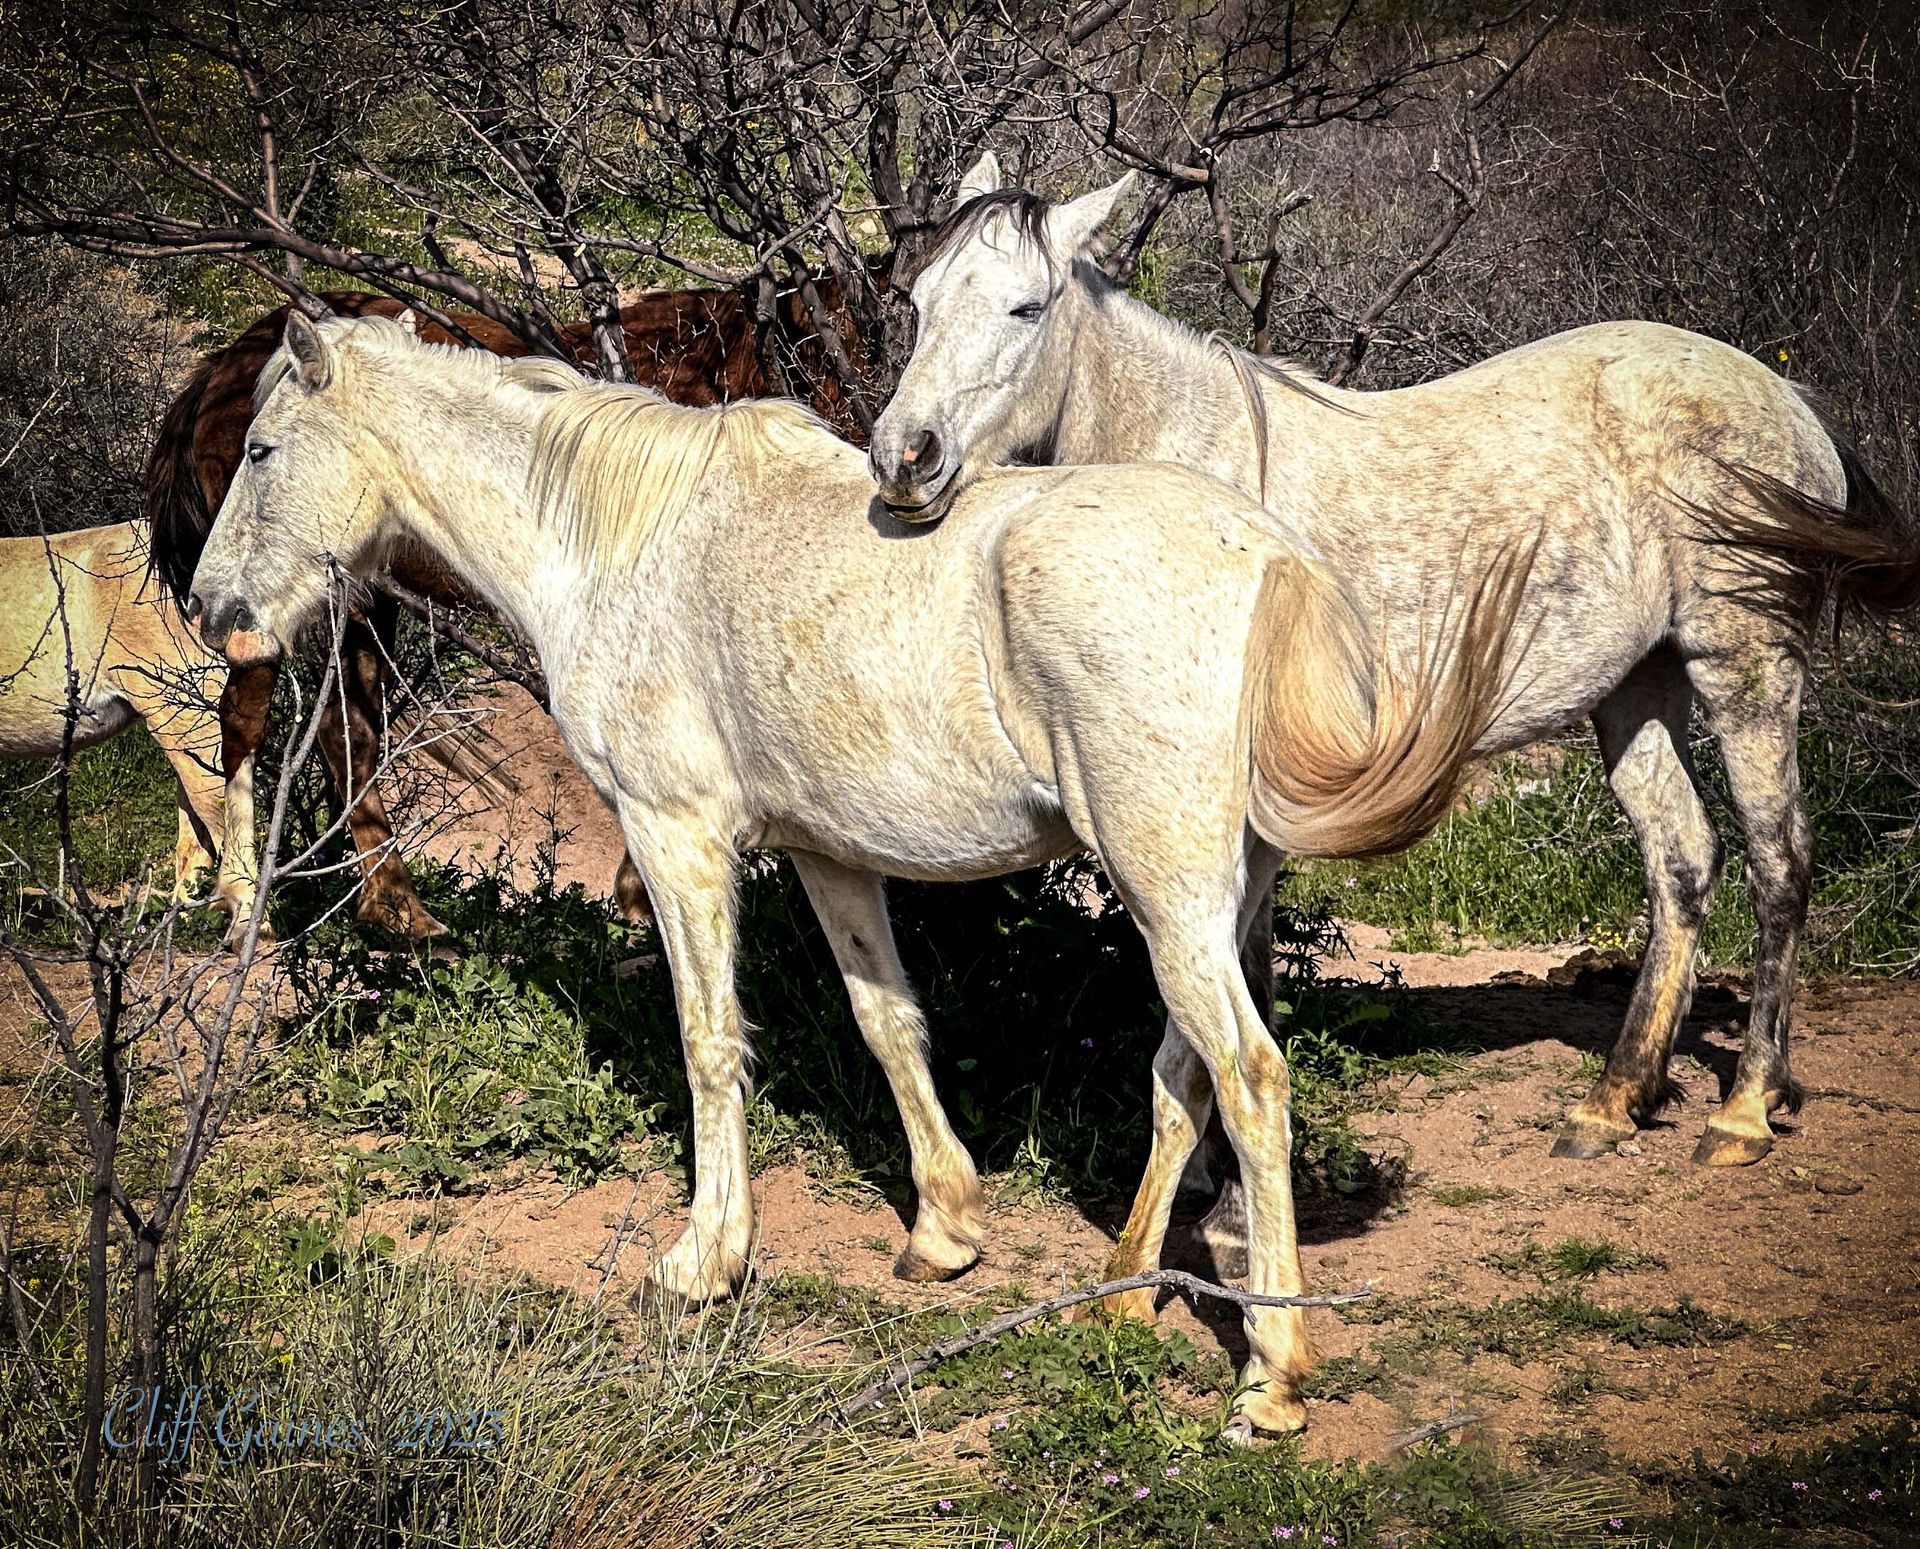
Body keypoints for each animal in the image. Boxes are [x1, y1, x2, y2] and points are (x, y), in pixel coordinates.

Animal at [146, 282, 865, 939]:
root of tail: (220, 368)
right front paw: (638, 894)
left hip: (359, 603)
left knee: (348, 730)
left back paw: (397, 910)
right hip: (276, 608)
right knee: (246, 720)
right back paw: (246, 899)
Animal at [870, 152, 1920, 1171]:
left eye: (1026, 307)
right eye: (917, 298)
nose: (903, 457)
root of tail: (1786, 397)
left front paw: (1223, 1193)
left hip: (1744, 664)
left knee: (1780, 860)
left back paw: (1745, 1108)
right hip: (1637, 687)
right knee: (1682, 862)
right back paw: (1614, 1100)